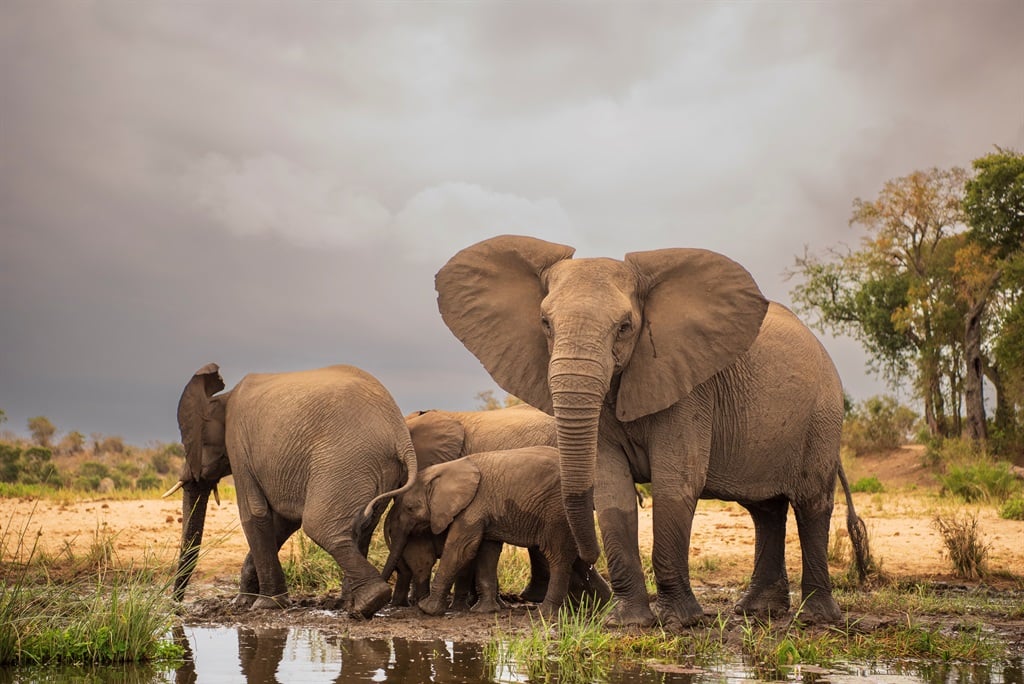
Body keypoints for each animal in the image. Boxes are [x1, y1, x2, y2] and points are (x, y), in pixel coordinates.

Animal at [167, 360, 415, 618]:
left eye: (188, 443)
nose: (176, 607)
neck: (223, 397)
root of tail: (401, 437)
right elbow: (283, 521)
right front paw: (243, 602)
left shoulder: (238, 445)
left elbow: (253, 514)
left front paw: (264, 605)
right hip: (377, 468)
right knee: (361, 528)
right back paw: (350, 606)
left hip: (345, 461)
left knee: (320, 526)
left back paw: (369, 602)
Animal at [380, 446, 598, 618]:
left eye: (410, 508)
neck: (446, 469)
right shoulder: (484, 510)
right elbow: (487, 551)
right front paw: (484, 611)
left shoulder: (474, 506)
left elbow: (461, 549)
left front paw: (427, 609)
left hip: (557, 514)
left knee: (557, 557)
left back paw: (545, 614)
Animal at [436, 235, 868, 630]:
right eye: (545, 324)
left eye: (625, 327)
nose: (588, 564)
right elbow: (612, 489)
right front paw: (627, 623)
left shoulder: (690, 388)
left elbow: (676, 483)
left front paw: (680, 622)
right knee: (766, 510)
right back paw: (756, 612)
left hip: (822, 415)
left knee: (811, 503)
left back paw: (816, 618)